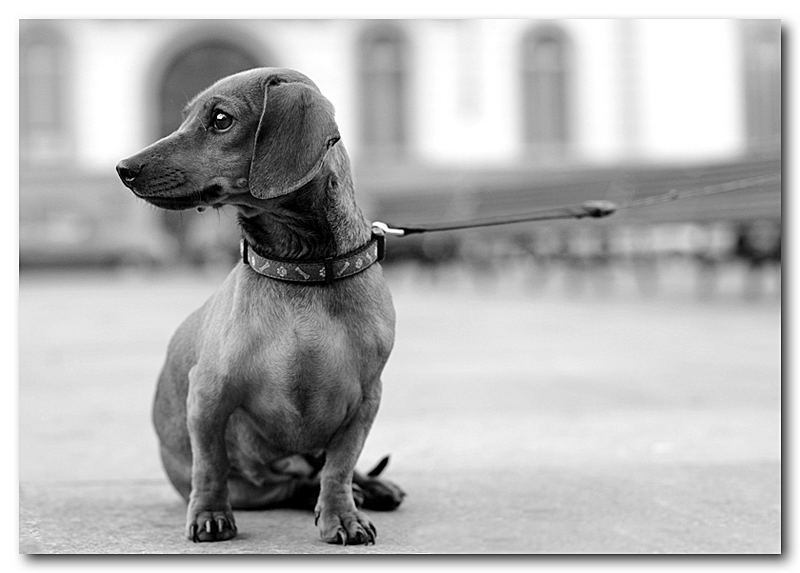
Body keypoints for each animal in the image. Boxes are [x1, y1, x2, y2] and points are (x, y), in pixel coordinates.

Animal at [115, 68, 404, 544]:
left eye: (220, 119)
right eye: (185, 116)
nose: (124, 168)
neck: (301, 269)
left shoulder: (365, 400)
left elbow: (340, 467)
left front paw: (342, 515)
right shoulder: (208, 394)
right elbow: (210, 464)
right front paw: (210, 514)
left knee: (323, 474)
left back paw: (372, 489)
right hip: (256, 485)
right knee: (290, 485)